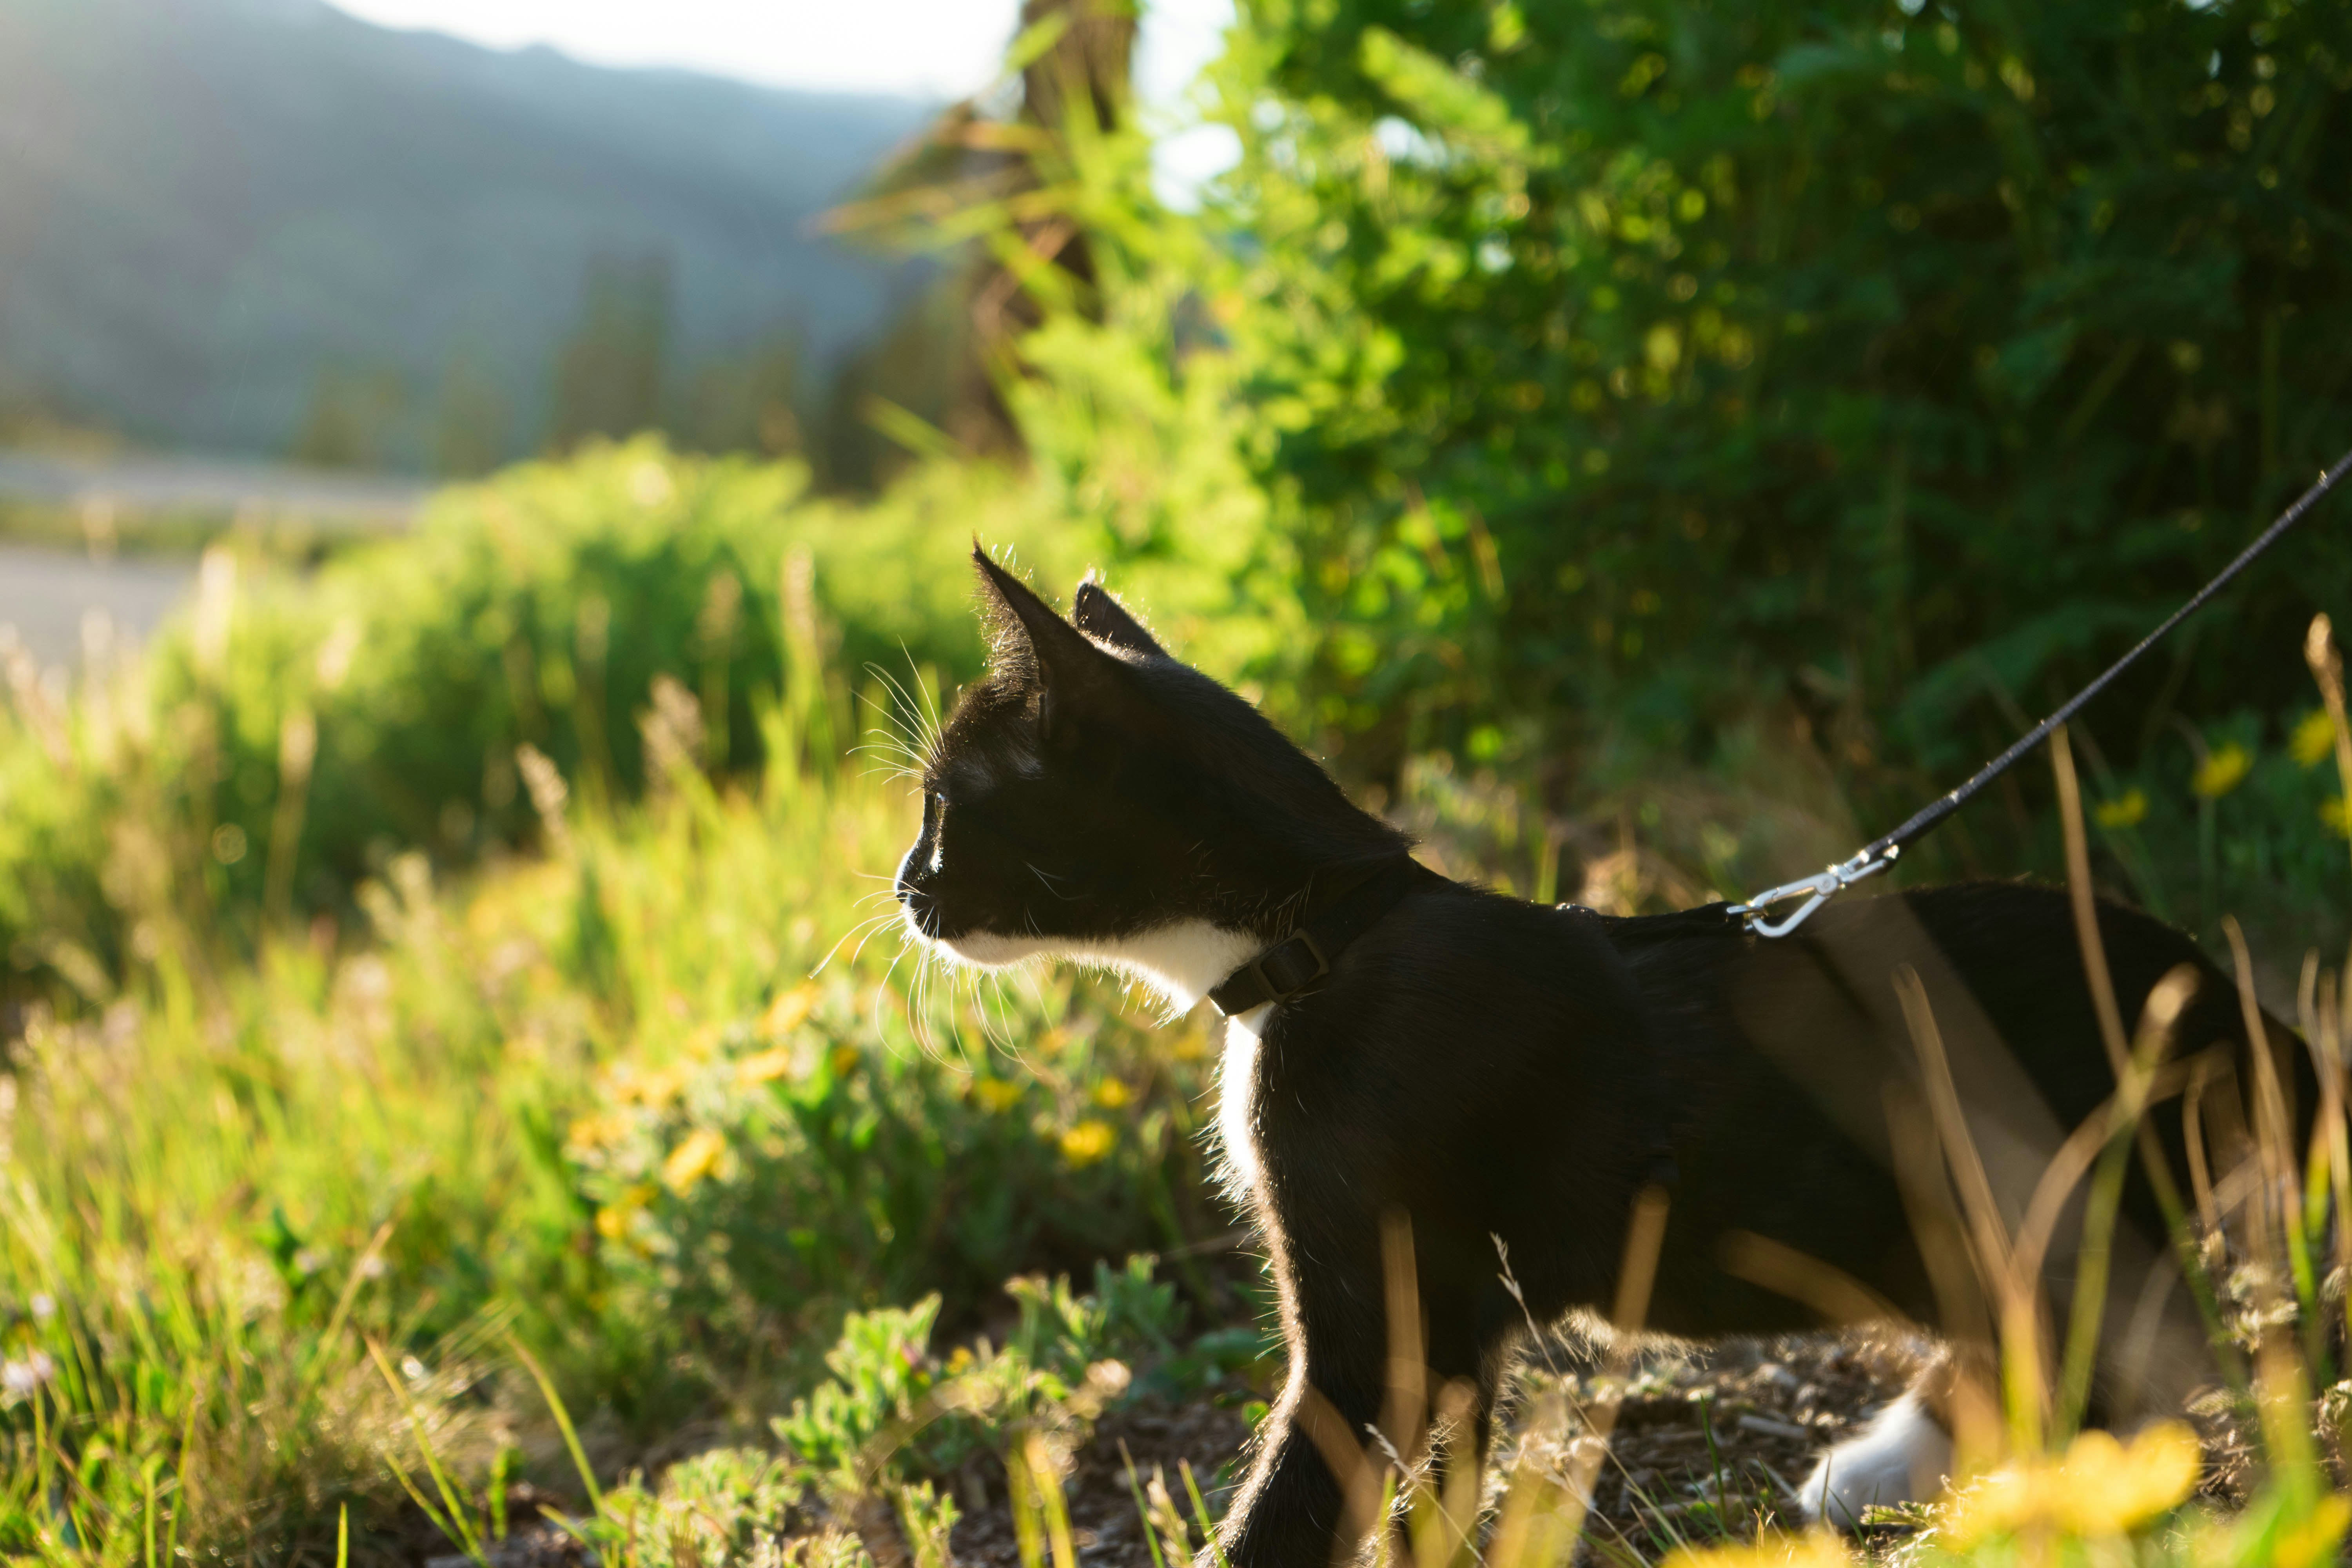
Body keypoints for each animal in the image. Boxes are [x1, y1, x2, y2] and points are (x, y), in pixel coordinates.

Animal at [894, 550, 2258, 1561]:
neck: (1324, 935)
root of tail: (2226, 996)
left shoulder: (1378, 1308)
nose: (906, 887)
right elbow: (1434, 1488)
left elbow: (1301, 1493)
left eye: (947, 807)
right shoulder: (1453, 1325)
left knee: (2101, 1364)